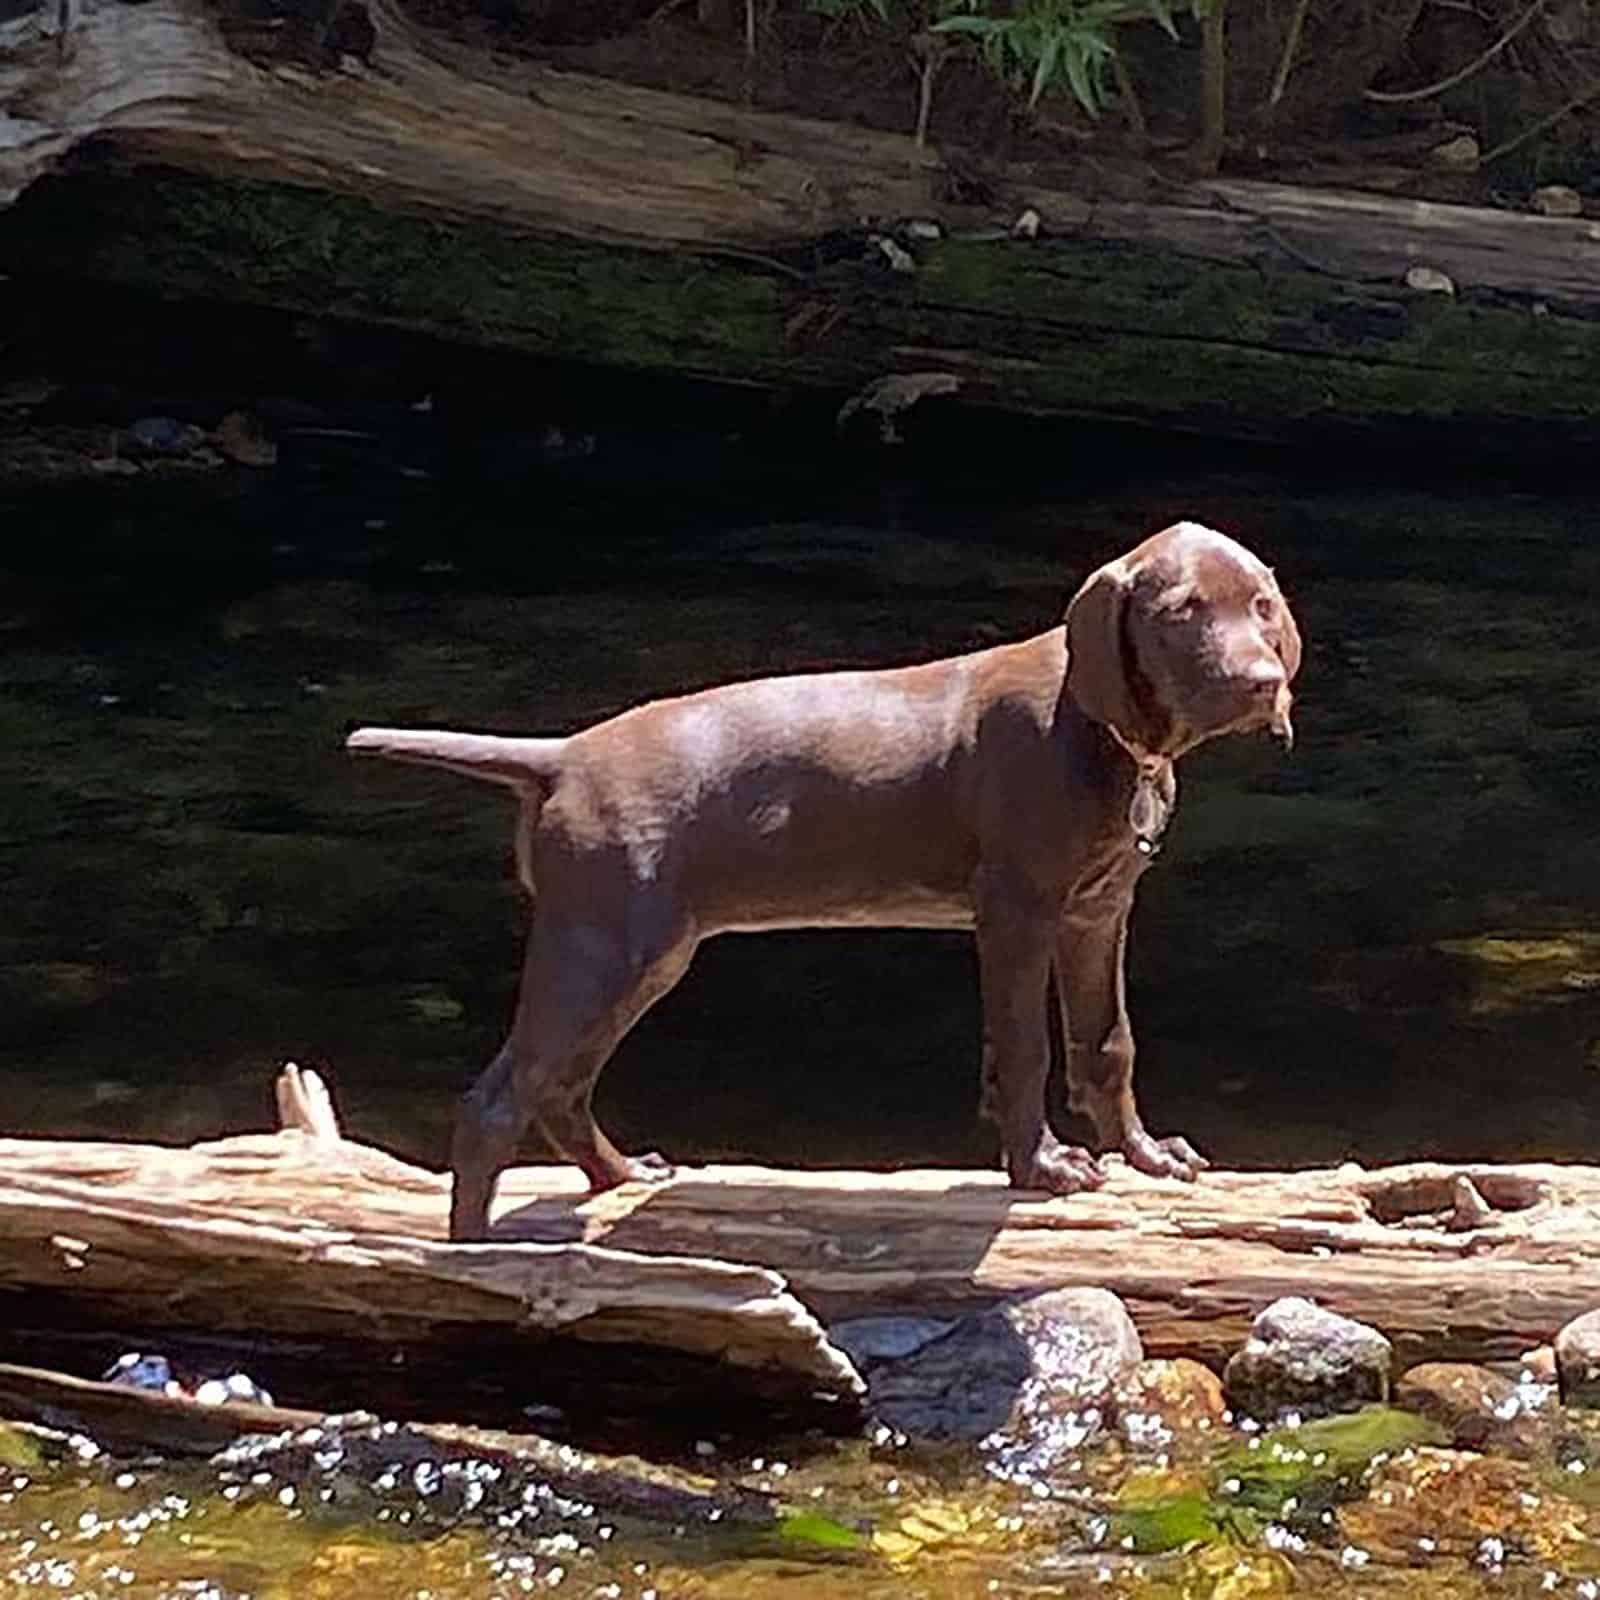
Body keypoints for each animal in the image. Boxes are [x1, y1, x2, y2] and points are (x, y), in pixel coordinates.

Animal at [347, 518, 1299, 1241]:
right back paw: (475, 1261)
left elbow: (1107, 1046)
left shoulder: (1097, 913)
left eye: (1261, 607)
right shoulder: (1017, 913)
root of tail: (562, 757)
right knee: (497, 1102)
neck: (1109, 738)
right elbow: (1027, 1048)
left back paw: (620, 1174)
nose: (1265, 684)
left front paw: (1147, 1156)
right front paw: (1043, 1167)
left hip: (646, 955)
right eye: (1179, 613)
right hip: (600, 945)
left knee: (560, 1088)